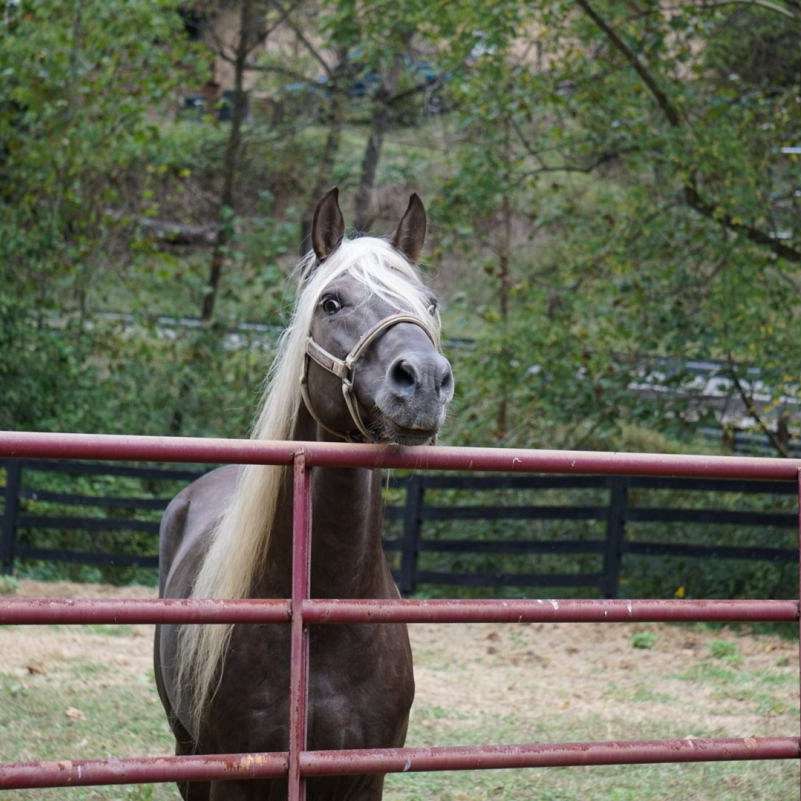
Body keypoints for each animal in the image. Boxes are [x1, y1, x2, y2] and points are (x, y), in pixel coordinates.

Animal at [153, 191, 454, 800]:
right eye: (332, 302)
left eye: (430, 303)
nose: (425, 379)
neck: (322, 620)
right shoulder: (232, 778)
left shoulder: (364, 778)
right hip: (186, 751)